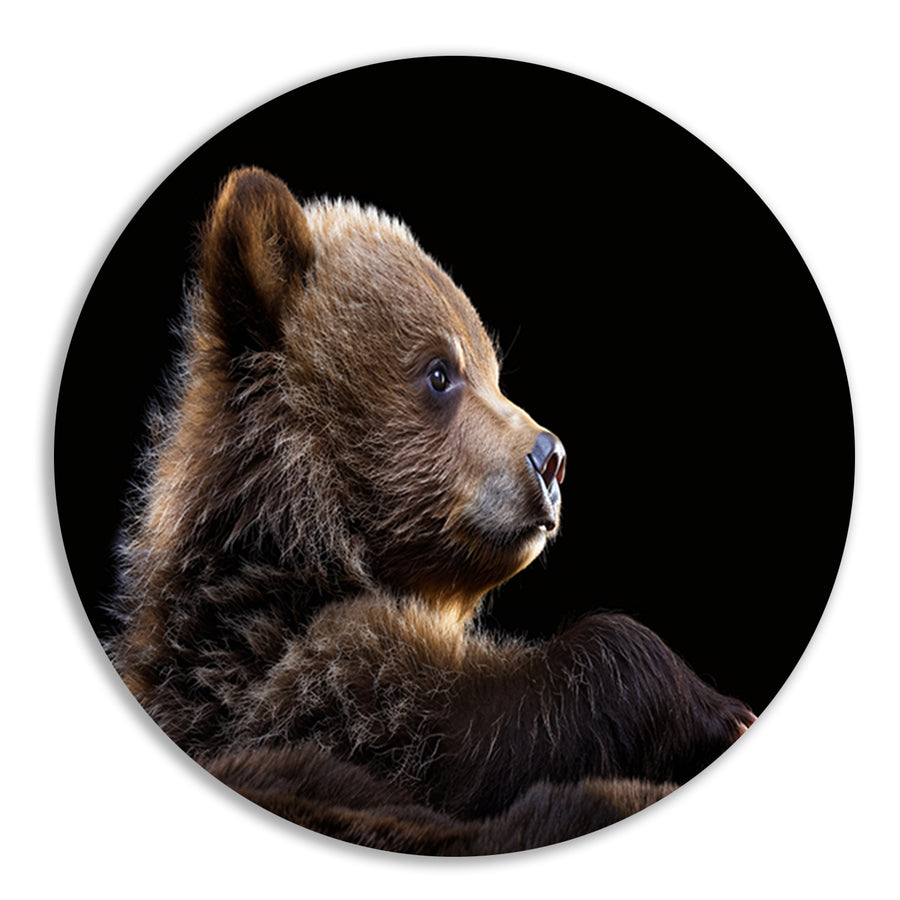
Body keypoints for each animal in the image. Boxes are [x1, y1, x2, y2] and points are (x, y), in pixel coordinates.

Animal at [107, 167, 754, 855]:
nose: (551, 458)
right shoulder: (288, 687)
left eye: (494, 369)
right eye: (440, 371)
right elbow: (459, 731)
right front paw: (718, 709)